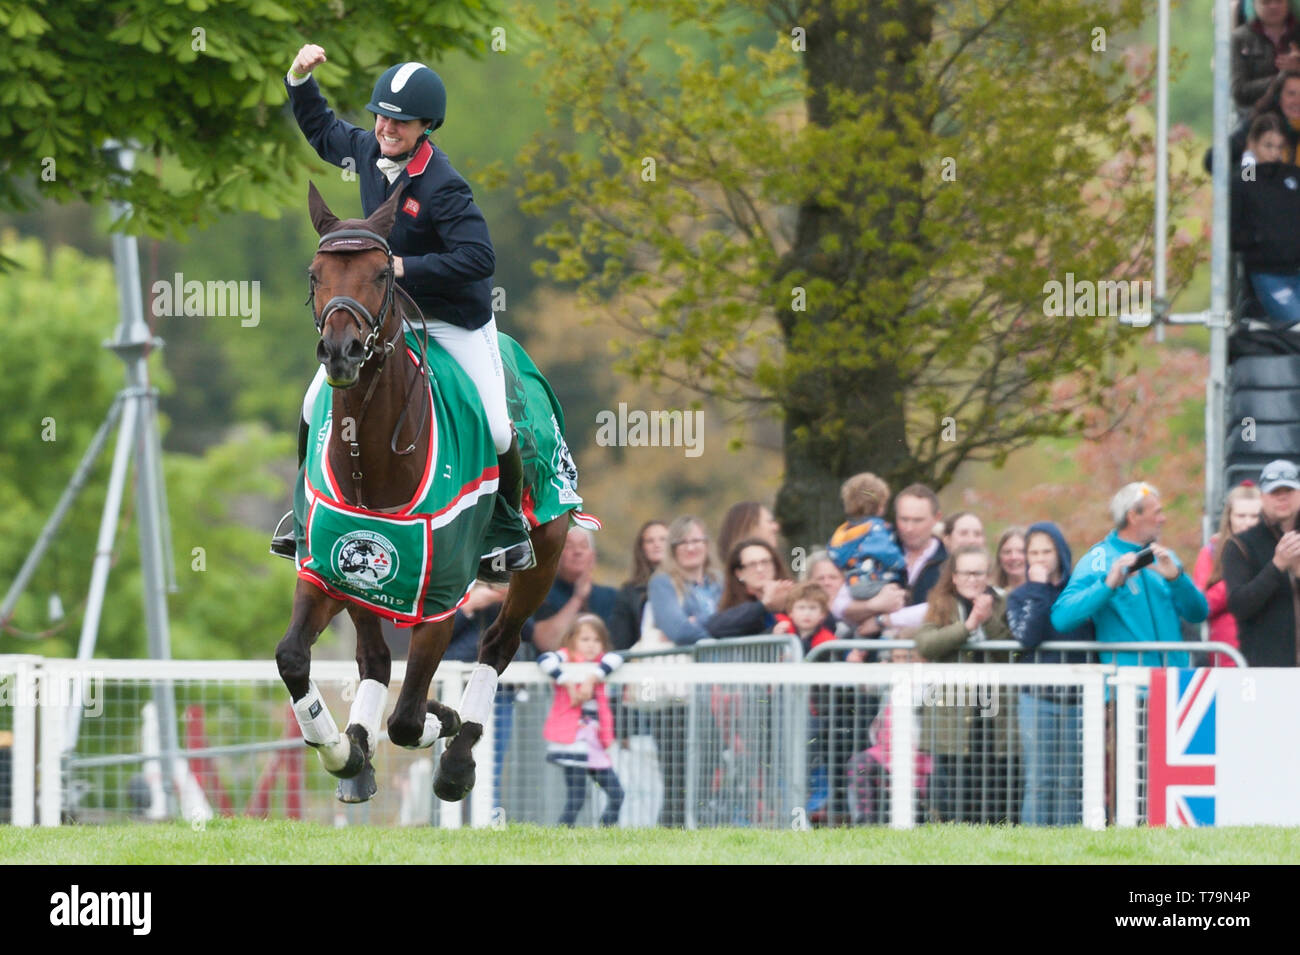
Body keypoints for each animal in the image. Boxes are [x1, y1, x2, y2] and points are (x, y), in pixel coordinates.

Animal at [274, 180, 590, 805]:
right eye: (316, 274)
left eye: (381, 273)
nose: (341, 352)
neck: (373, 463)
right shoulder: (326, 570)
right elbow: (294, 658)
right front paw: (342, 751)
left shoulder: (441, 600)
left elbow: (407, 720)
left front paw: (441, 727)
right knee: (374, 659)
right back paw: (360, 752)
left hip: (547, 551)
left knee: (498, 644)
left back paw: (459, 754)